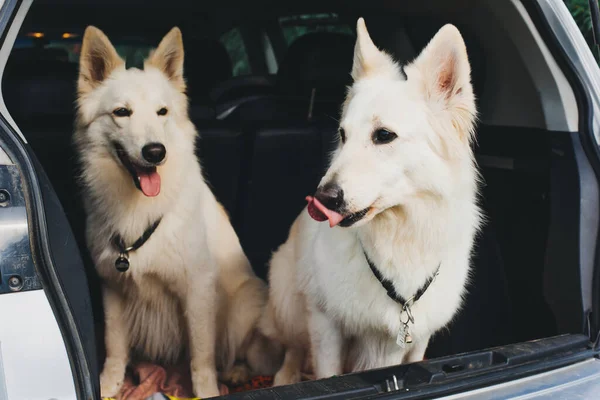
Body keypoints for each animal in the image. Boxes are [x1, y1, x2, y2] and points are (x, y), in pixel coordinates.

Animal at [73, 27, 276, 396]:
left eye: (162, 112)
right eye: (121, 112)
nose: (156, 152)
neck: (140, 205)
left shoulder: (197, 290)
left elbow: (202, 357)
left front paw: (207, 391)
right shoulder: (112, 286)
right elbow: (114, 344)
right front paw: (109, 384)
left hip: (244, 304)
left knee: (244, 355)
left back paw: (237, 373)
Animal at [260, 18, 480, 384]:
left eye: (384, 136)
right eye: (343, 135)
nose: (322, 199)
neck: (399, 234)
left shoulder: (419, 337)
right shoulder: (325, 325)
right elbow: (326, 372)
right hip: (289, 299)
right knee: (292, 349)